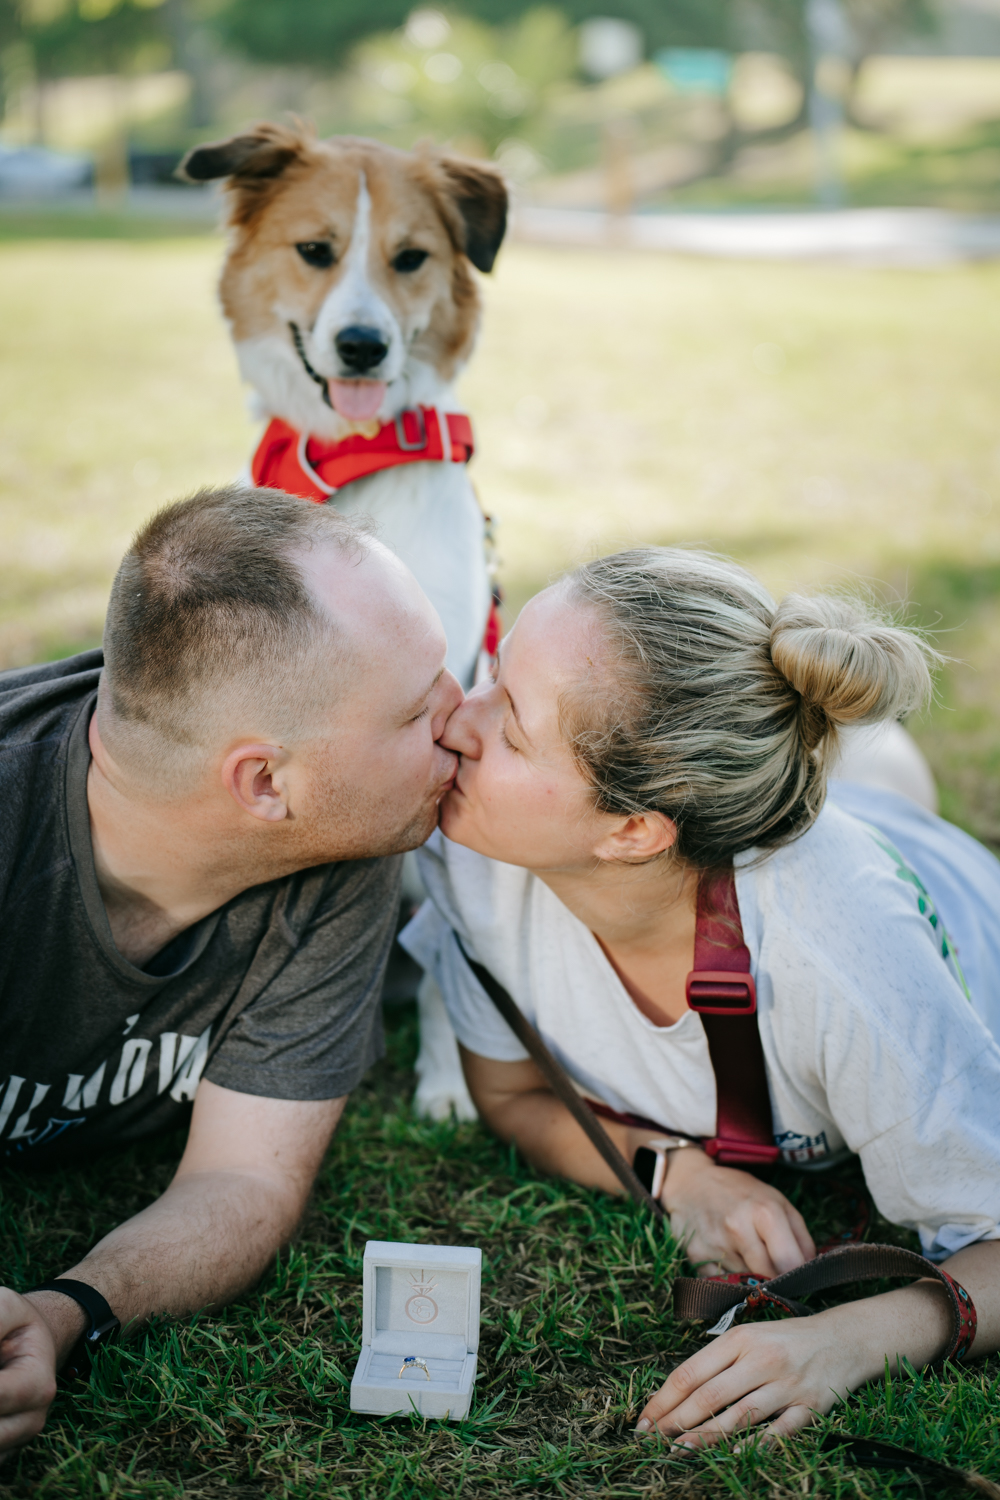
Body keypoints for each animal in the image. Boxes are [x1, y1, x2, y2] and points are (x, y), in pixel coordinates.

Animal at [179, 126, 509, 1116]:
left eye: (412, 258)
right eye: (315, 250)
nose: (362, 346)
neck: (347, 469)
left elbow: (449, 961)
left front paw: (446, 1085)